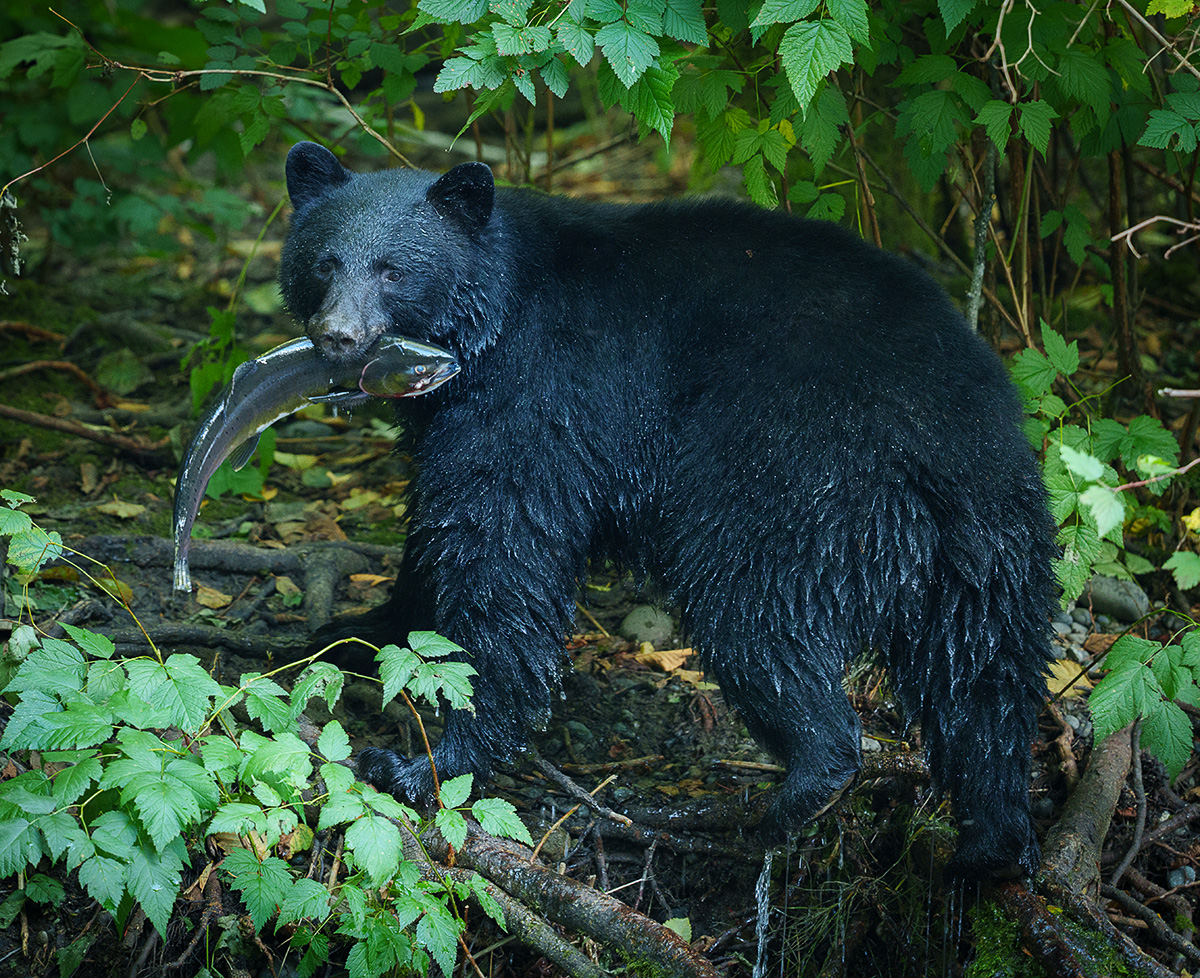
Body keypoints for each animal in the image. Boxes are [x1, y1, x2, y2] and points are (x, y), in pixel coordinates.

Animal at [279, 140, 1056, 878]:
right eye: (324, 261)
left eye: (392, 269)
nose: (337, 335)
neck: (494, 315)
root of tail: (939, 436)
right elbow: (432, 534)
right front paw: (358, 630)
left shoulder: (536, 397)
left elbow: (499, 554)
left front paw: (431, 760)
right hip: (990, 547)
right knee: (986, 680)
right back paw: (992, 837)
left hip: (787, 479)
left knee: (752, 610)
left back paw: (807, 783)